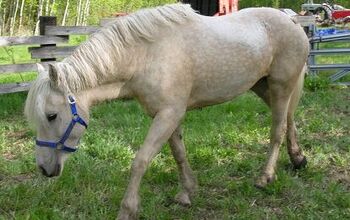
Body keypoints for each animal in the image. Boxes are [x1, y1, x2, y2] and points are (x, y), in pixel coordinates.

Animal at [24, 3, 308, 218]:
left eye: (51, 116)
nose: (44, 169)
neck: (145, 56)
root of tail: (291, 19)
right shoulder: (168, 115)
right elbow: (179, 153)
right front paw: (186, 192)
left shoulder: (168, 114)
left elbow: (140, 161)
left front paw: (128, 209)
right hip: (264, 87)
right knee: (290, 119)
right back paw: (298, 159)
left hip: (281, 86)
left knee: (278, 129)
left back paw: (265, 177)